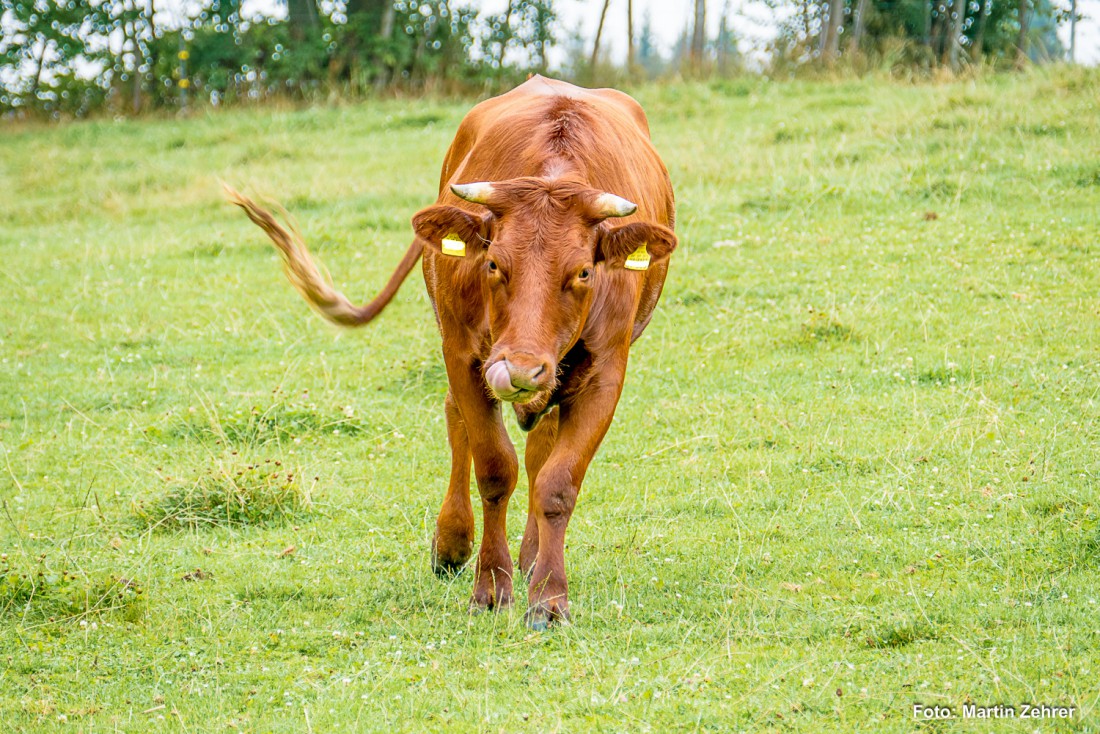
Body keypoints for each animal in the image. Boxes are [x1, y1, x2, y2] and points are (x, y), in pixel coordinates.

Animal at [227, 75, 673, 633]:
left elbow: (557, 482)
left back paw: (530, 556)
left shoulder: (605, 373)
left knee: (540, 446)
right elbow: (495, 469)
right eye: (494, 264)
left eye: (585, 272)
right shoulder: (463, 356)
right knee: (459, 421)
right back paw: (452, 544)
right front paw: (491, 589)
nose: (520, 368)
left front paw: (548, 597)